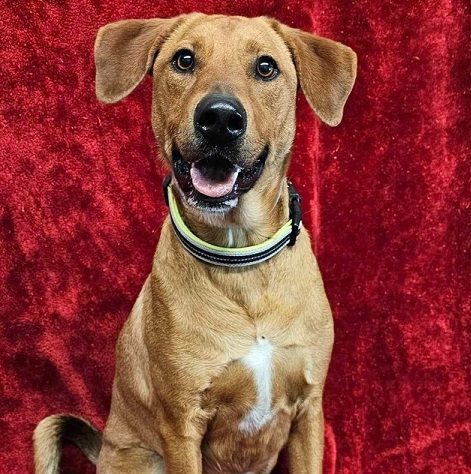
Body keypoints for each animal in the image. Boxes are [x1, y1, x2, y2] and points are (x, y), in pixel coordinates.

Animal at [34, 12, 358, 472]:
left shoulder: (309, 413)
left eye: (266, 67)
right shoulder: (182, 424)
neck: (241, 262)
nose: (220, 118)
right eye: (184, 59)